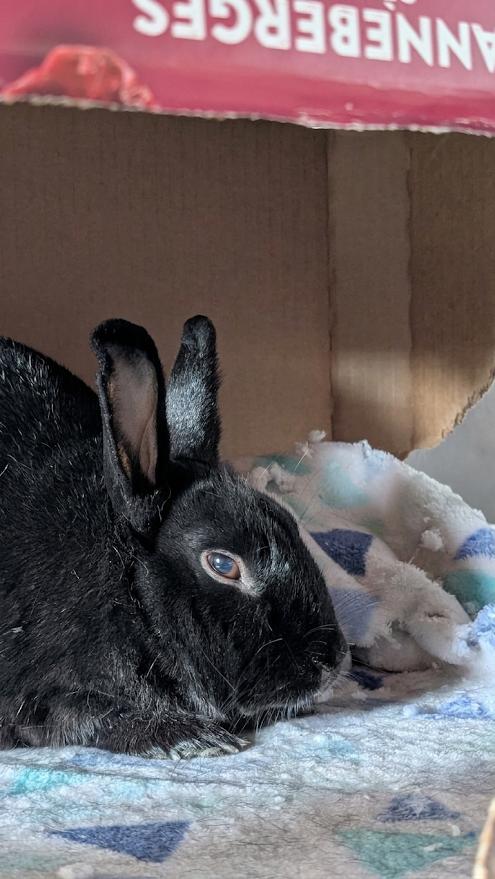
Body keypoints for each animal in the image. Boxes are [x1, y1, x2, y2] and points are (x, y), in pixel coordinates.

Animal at [0, 315, 347, 758]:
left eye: (288, 521)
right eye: (222, 564)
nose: (333, 659)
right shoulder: (44, 695)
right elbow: (93, 717)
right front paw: (194, 738)